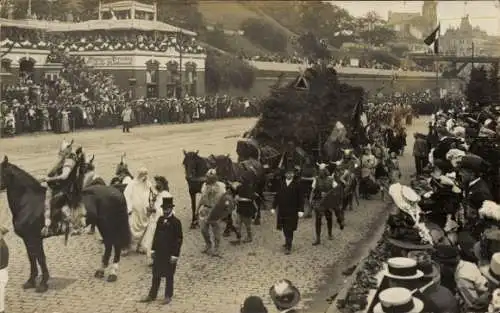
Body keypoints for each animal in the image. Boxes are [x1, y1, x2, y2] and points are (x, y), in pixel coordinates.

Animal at [0, 155, 132, 292]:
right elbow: (32, 259)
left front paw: (43, 283)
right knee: (109, 244)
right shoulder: (28, 239)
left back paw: (112, 274)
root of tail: (116, 190)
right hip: (103, 225)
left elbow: (40, 259)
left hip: (111, 224)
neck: (29, 202)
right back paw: (101, 271)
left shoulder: (34, 238)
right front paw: (31, 281)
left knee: (116, 245)